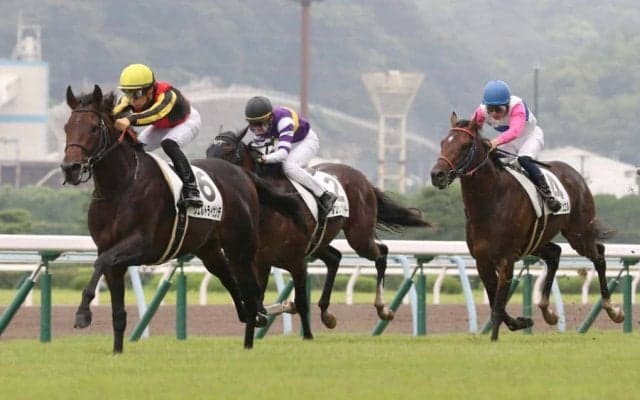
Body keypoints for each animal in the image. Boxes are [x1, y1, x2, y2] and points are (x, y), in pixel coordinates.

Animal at [61, 85, 301, 352]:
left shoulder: (142, 245)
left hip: (241, 248)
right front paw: (116, 351)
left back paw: (255, 330)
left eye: (93, 127)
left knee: (250, 293)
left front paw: (83, 313)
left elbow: (100, 262)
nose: (70, 168)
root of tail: (244, 173)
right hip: (210, 251)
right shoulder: (112, 252)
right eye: (67, 127)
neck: (120, 187)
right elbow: (118, 312)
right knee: (234, 286)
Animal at [206, 129, 430, 338]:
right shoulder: (260, 261)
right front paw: (276, 313)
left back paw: (383, 308)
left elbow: (300, 302)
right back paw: (326, 313)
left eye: (227, 151)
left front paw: (306, 334)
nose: (212, 175)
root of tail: (363, 179)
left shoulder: (297, 262)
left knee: (381, 253)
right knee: (335, 258)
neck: (272, 208)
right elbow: (258, 301)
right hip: (319, 243)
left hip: (359, 237)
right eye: (209, 151)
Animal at [430, 112, 622, 341]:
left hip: (578, 233)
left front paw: (494, 339)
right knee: (555, 254)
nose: (437, 174)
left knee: (599, 254)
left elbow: (498, 305)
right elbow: (496, 302)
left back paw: (612, 310)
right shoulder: (482, 260)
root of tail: (576, 174)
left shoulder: (506, 259)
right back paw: (548, 312)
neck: (490, 202)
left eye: (465, 145)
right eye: (443, 142)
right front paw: (521, 322)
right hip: (536, 241)